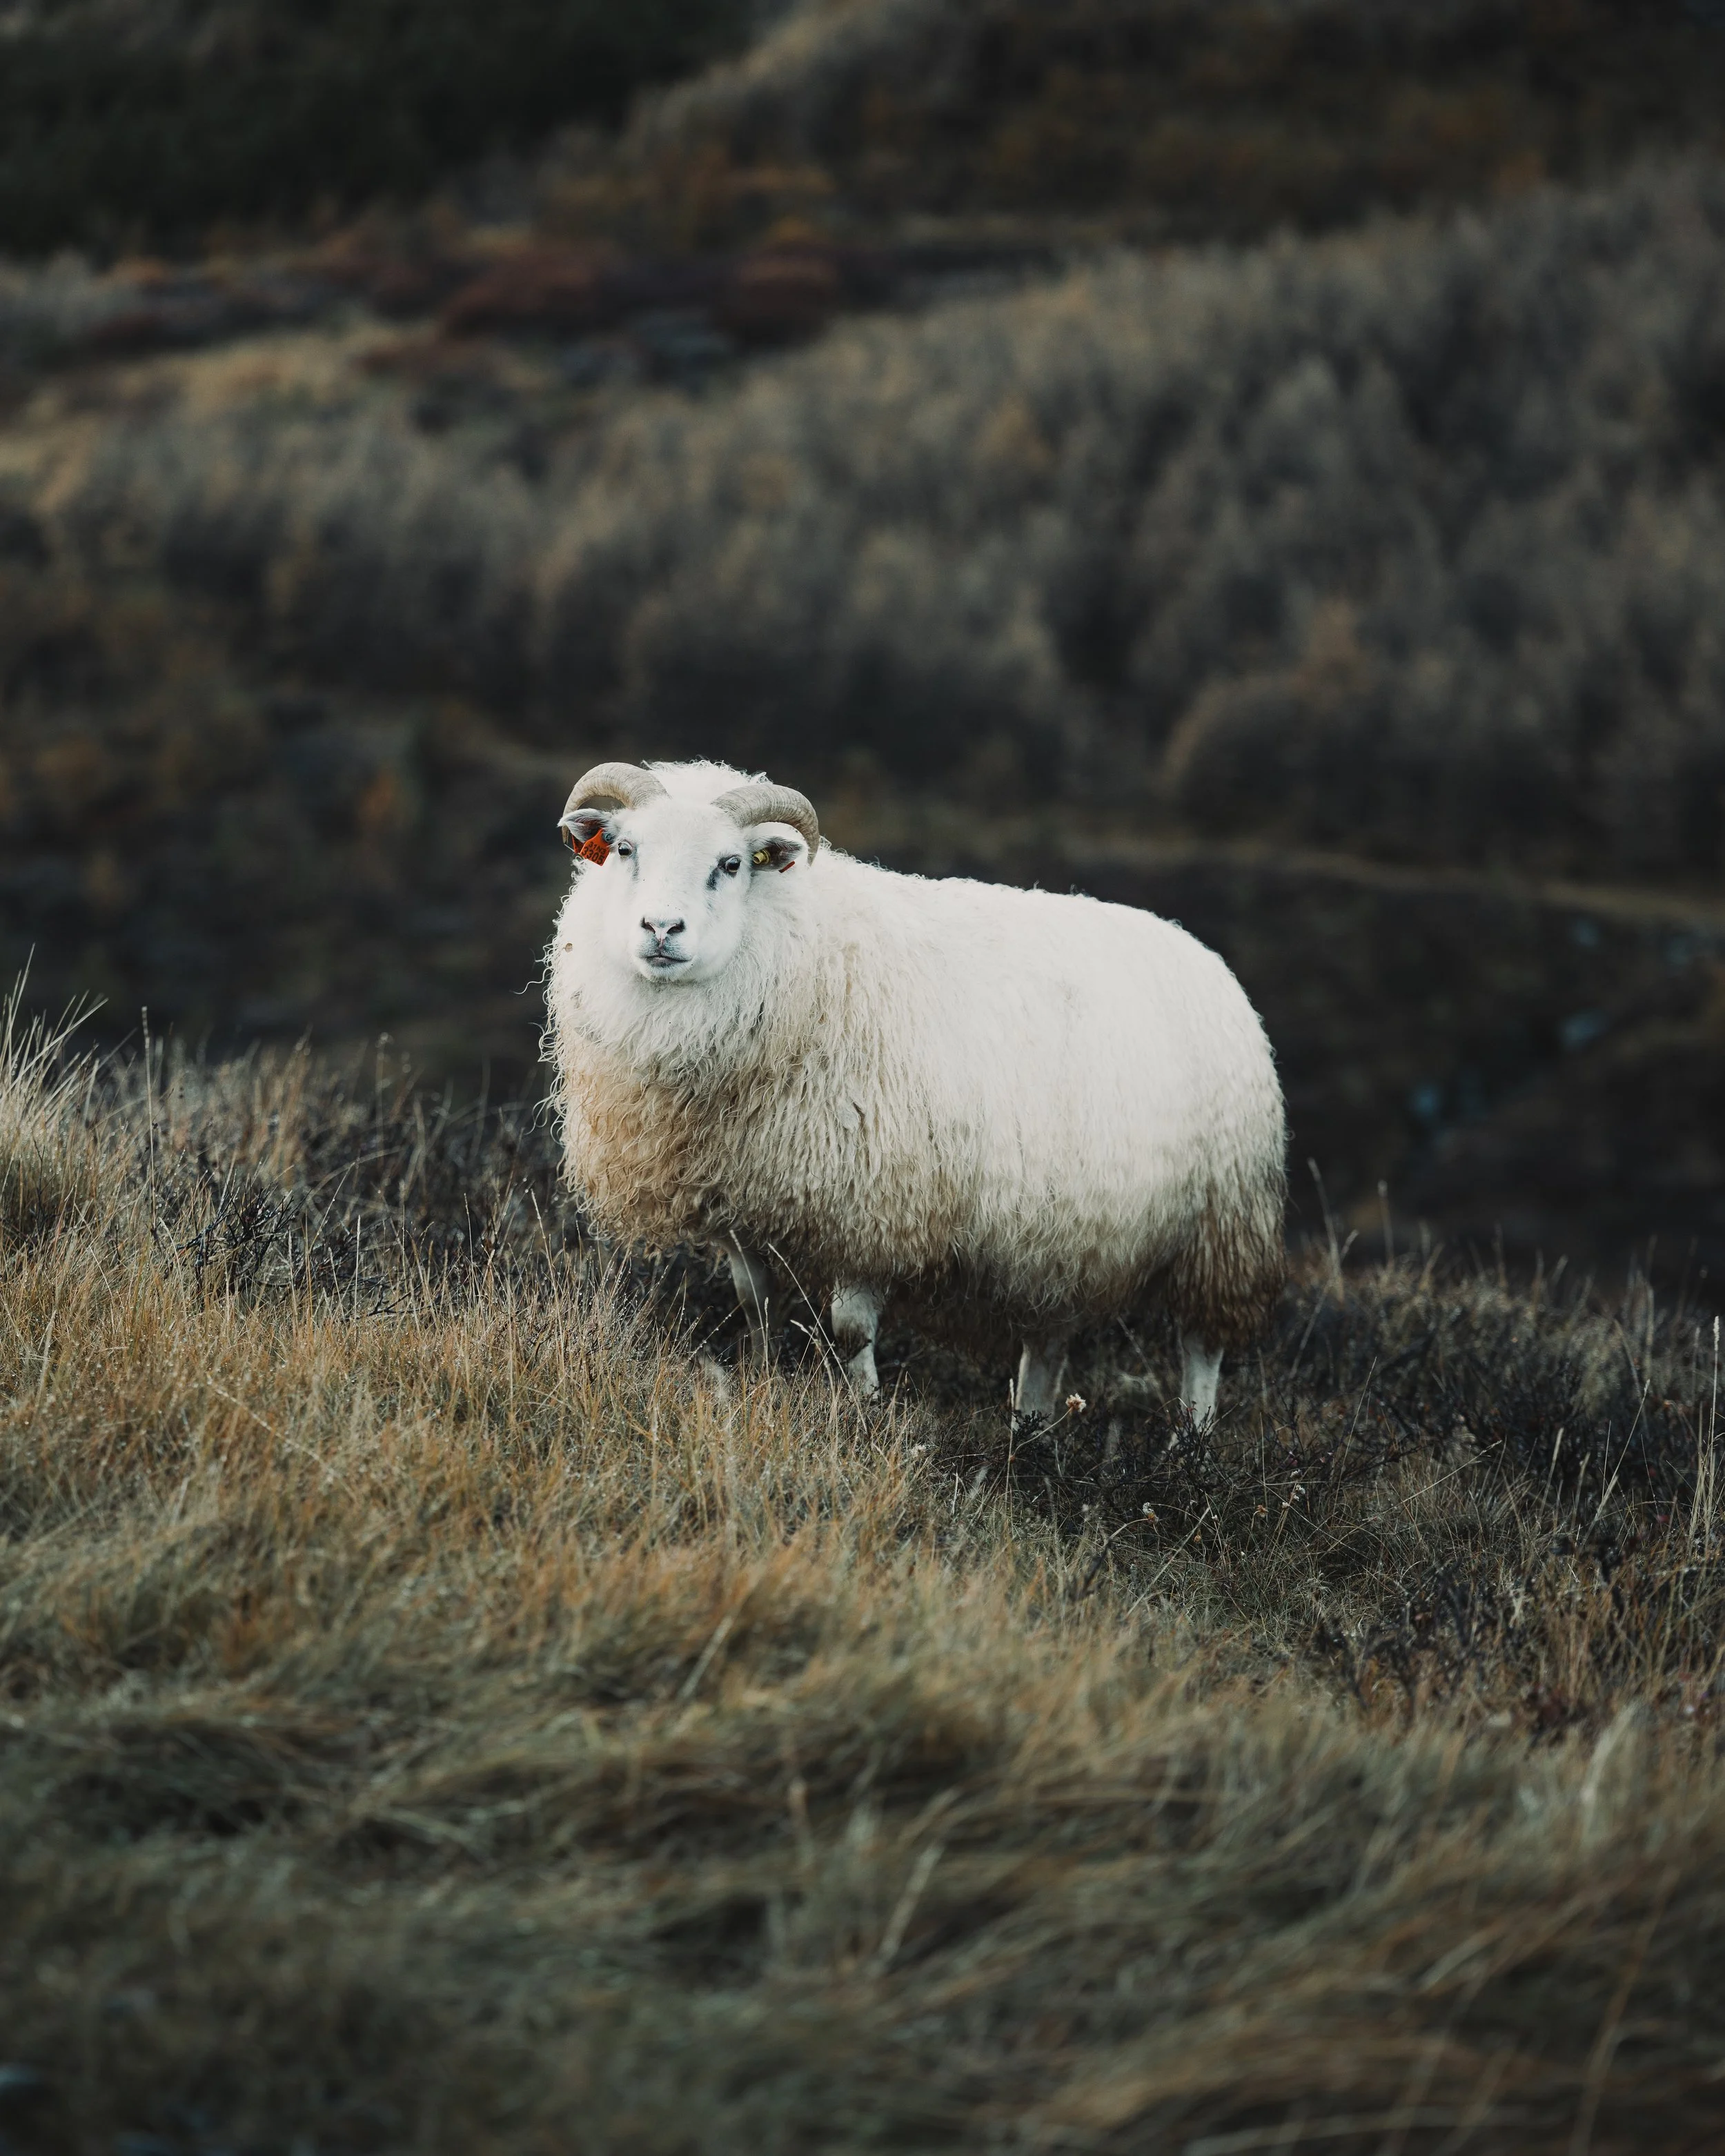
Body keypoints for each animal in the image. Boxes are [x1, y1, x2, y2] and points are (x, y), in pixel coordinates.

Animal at [545, 758, 1286, 1422]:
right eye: (625, 849)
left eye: (730, 865)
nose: (661, 930)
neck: (803, 955)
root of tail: (1205, 957)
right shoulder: (743, 1201)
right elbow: (756, 1308)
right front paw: (760, 1386)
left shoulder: (871, 1201)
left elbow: (851, 1330)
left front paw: (867, 1413)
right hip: (1067, 1232)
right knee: (1048, 1338)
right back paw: (1030, 1432)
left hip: (1223, 1221)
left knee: (1202, 1344)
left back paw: (1190, 1440)